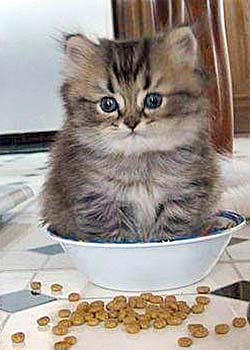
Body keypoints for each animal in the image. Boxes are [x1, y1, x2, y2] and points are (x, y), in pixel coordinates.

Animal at [41, 27, 221, 242]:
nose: (131, 123)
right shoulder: (99, 201)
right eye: (108, 104)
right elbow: (116, 238)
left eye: (153, 100)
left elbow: (169, 232)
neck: (140, 162)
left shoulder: (183, 196)